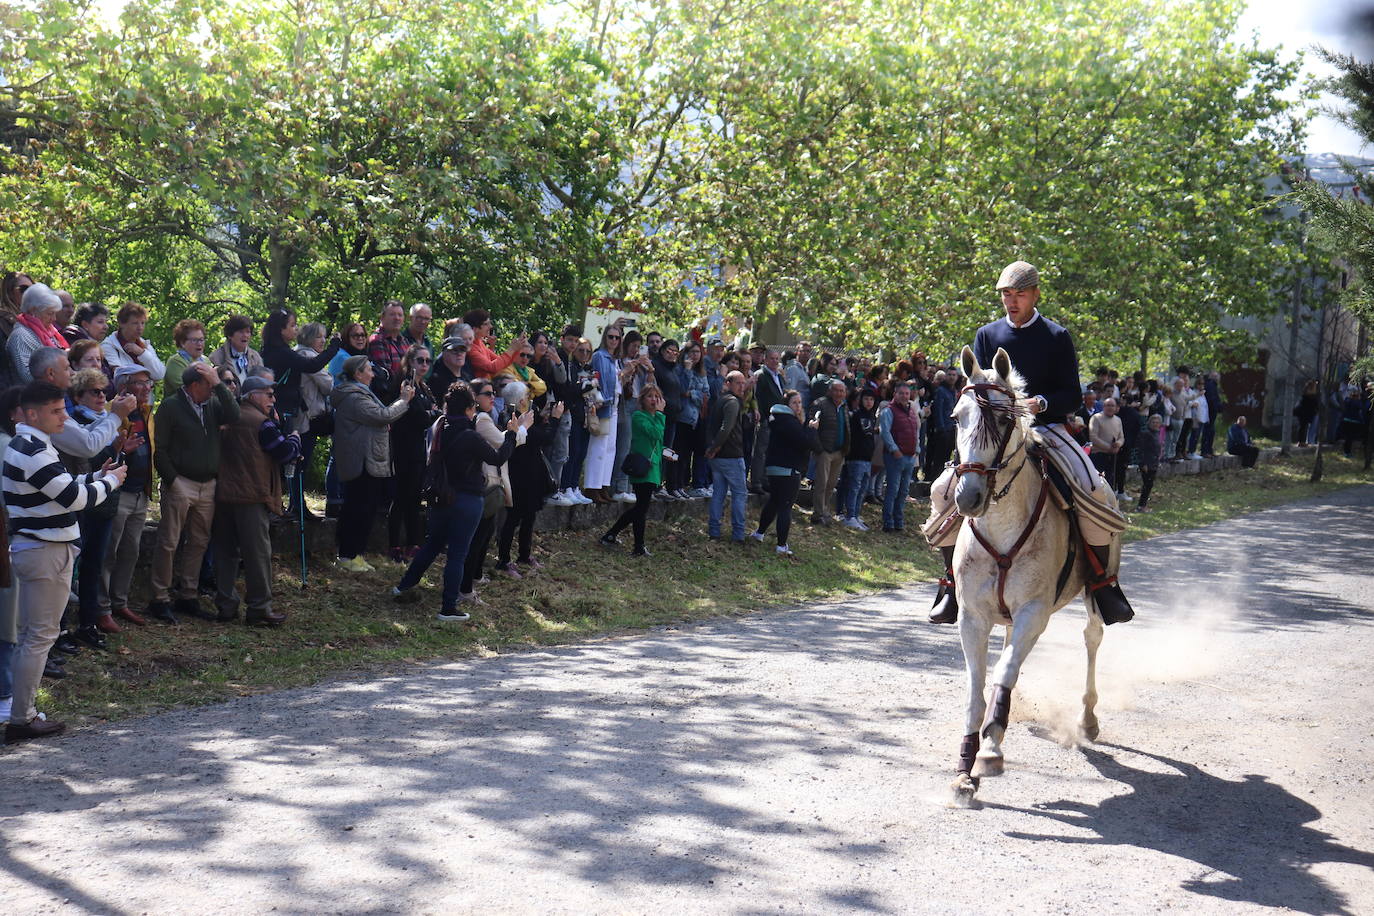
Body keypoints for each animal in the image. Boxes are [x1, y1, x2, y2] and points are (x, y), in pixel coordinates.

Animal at [945, 347, 1104, 807]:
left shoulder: (1034, 613)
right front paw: (964, 771)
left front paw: (990, 752)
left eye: (1002, 419)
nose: (968, 497)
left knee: (1092, 638)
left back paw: (1088, 719)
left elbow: (1002, 677)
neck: (1001, 525)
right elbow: (977, 689)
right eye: (956, 417)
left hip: (1093, 594)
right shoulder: (972, 618)